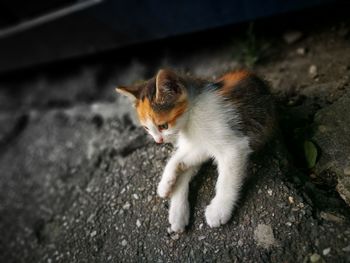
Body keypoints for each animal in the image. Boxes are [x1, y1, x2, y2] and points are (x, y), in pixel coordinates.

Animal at [117, 69, 276, 233]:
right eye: (147, 128)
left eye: (163, 126)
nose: (158, 141)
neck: (191, 115)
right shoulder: (195, 144)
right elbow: (178, 159)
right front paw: (165, 185)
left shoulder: (233, 146)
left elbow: (226, 176)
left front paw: (219, 209)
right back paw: (177, 211)